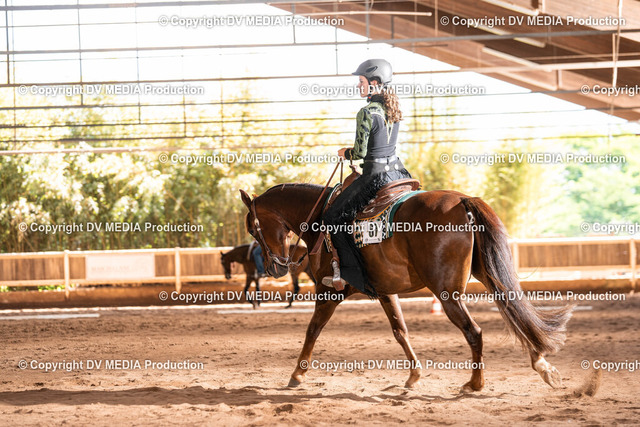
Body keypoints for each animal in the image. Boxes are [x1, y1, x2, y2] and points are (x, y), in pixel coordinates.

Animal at [239, 184, 574, 393]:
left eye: (253, 228)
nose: (275, 268)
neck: (323, 221)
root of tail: (462, 200)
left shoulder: (330, 292)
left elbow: (312, 329)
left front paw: (297, 374)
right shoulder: (386, 291)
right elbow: (400, 330)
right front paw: (414, 375)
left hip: (448, 293)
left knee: (475, 331)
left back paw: (475, 384)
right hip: (489, 275)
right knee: (515, 311)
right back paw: (541, 364)